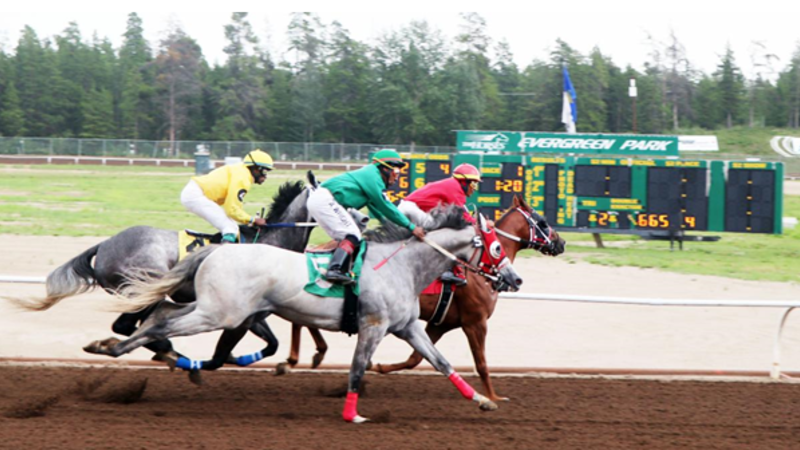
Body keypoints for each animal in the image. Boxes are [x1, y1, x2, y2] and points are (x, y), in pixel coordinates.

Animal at [86, 206, 524, 424]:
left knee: (159, 313)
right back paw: (115, 348)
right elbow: (357, 369)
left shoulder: (408, 327)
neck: (401, 266)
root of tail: (215, 250)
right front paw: (352, 414)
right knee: (161, 322)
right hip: (221, 313)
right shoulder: (373, 327)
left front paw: (483, 402)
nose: (514, 278)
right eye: (495, 248)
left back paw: (124, 347)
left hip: (214, 307)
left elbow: (442, 362)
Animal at [278, 194, 564, 400]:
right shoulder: (475, 322)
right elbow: (481, 363)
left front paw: (377, 366)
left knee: (302, 318)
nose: (560, 243)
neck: (480, 272)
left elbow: (416, 359)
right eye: (543, 222)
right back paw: (297, 358)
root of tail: (319, 248)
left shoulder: (440, 323)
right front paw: (494, 396)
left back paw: (303, 356)